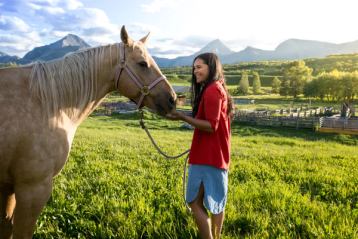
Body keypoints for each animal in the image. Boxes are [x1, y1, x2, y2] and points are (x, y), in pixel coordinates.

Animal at [0, 26, 176, 239]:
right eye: (143, 63)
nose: (173, 99)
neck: (46, 103)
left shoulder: (8, 186)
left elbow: (5, 226)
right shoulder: (32, 188)